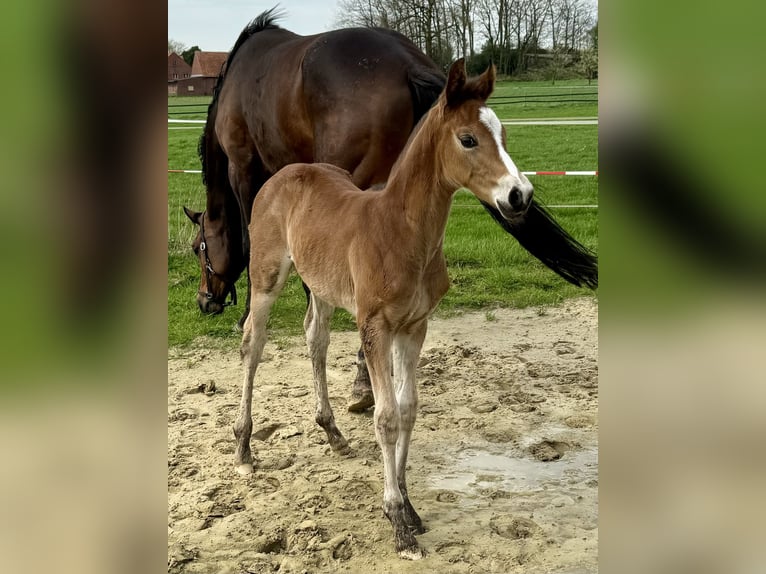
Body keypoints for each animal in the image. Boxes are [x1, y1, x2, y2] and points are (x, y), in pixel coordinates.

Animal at [234, 60, 536, 560]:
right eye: (468, 139)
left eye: (504, 135)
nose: (520, 196)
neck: (400, 232)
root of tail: (285, 173)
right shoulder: (374, 326)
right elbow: (386, 415)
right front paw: (397, 520)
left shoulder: (414, 326)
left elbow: (408, 407)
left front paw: (410, 507)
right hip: (266, 278)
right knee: (253, 346)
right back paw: (243, 446)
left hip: (322, 285)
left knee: (314, 337)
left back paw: (332, 433)